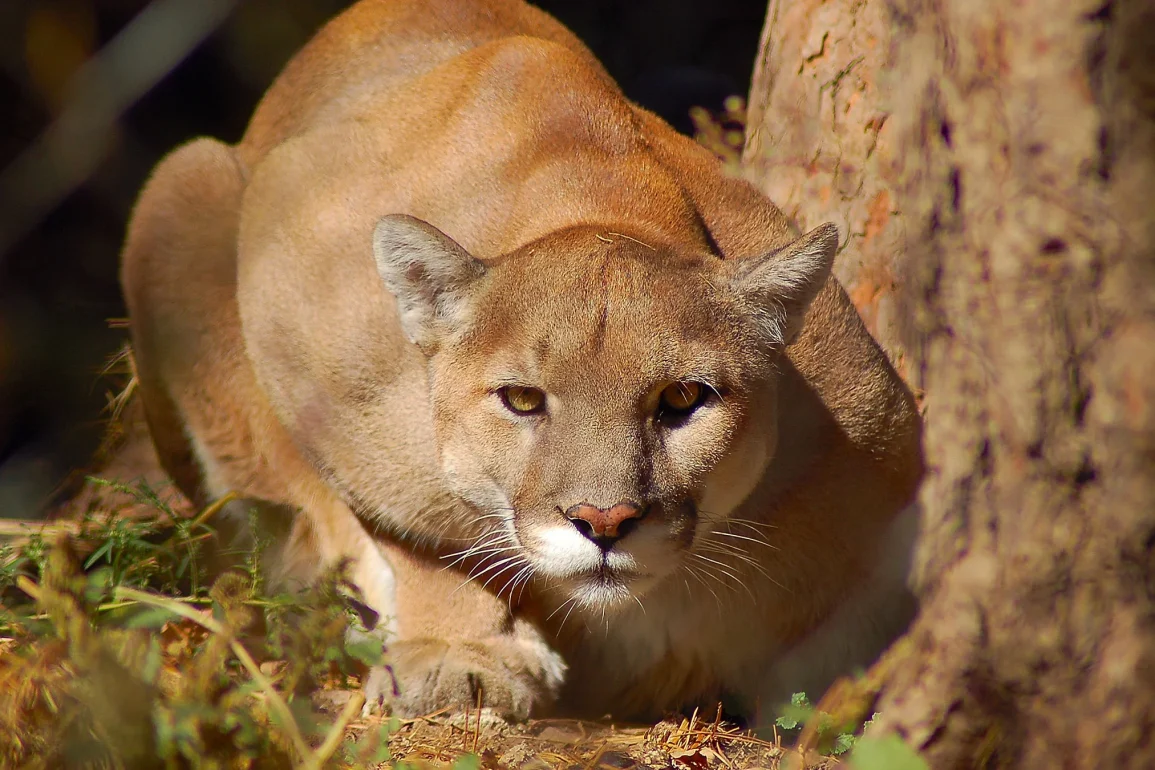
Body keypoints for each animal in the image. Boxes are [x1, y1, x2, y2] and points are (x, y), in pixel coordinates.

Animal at [121, 0, 924, 729]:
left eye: (681, 399)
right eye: (522, 401)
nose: (604, 522)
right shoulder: (303, 327)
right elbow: (422, 530)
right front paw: (462, 656)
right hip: (184, 183)